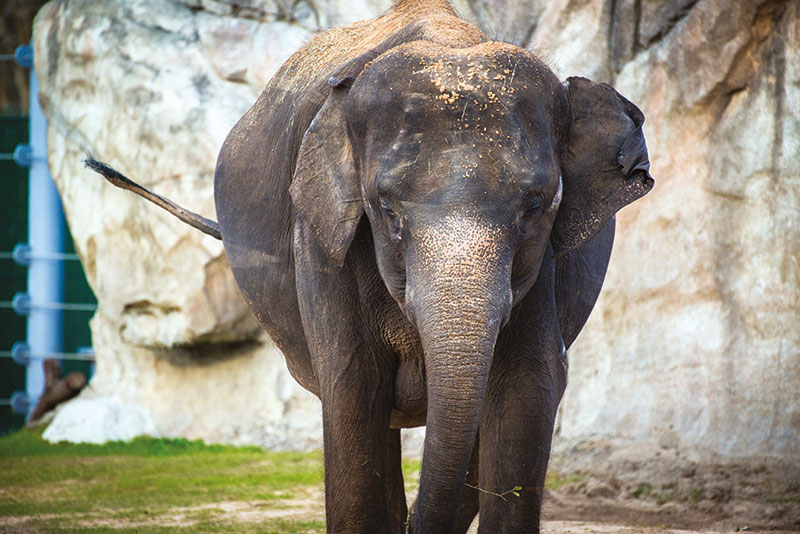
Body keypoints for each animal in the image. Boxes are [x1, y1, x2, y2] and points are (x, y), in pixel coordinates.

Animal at [87, 0, 652, 532]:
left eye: (535, 206)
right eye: (386, 208)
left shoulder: (543, 269)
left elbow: (525, 388)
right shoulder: (320, 234)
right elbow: (352, 386)